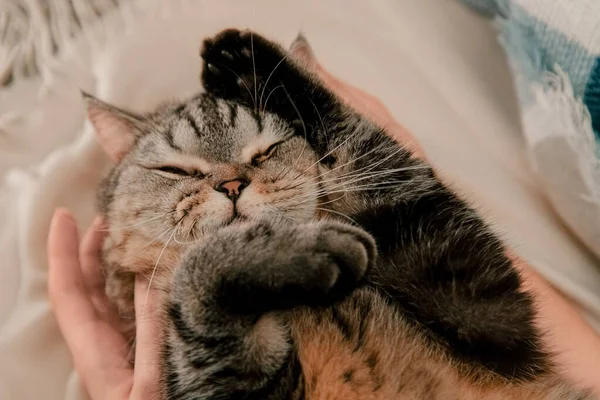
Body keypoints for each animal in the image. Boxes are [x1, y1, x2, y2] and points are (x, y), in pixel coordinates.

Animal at [86, 28, 592, 400]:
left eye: (269, 149)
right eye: (175, 170)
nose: (231, 186)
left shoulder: (483, 310)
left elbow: (360, 144)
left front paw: (248, 62)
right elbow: (195, 273)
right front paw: (306, 250)